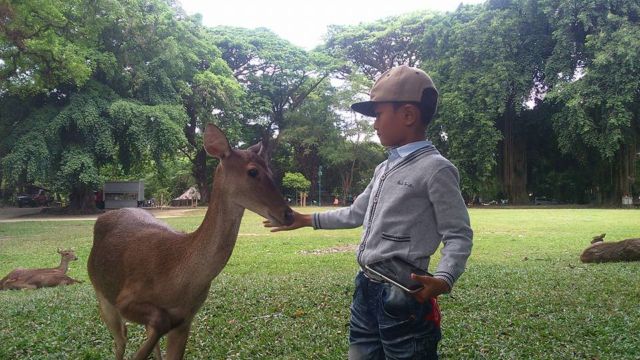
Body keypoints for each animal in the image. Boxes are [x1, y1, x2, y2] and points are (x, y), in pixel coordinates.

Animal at [86, 122, 294, 358]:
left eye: (271, 171)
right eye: (253, 171)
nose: (288, 214)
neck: (178, 278)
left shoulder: (187, 320)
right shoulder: (125, 297)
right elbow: (158, 321)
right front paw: (141, 352)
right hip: (100, 291)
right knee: (121, 340)